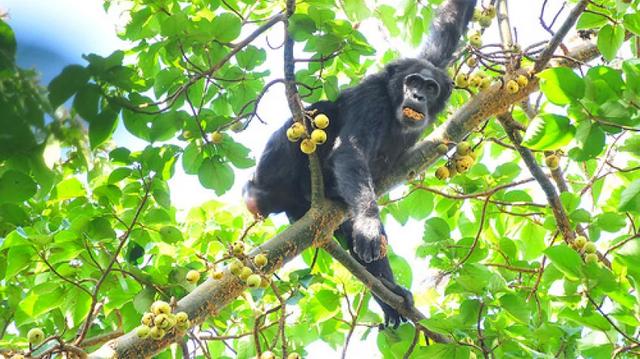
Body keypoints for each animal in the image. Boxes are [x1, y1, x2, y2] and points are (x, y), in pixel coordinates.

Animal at [242, 0, 478, 328]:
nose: (417, 94)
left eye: (430, 87)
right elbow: (350, 151)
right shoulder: (373, 101)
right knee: (318, 113)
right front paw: (369, 225)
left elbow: (449, 28)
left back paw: (389, 292)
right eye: (413, 81)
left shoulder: (431, 62)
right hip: (272, 174)